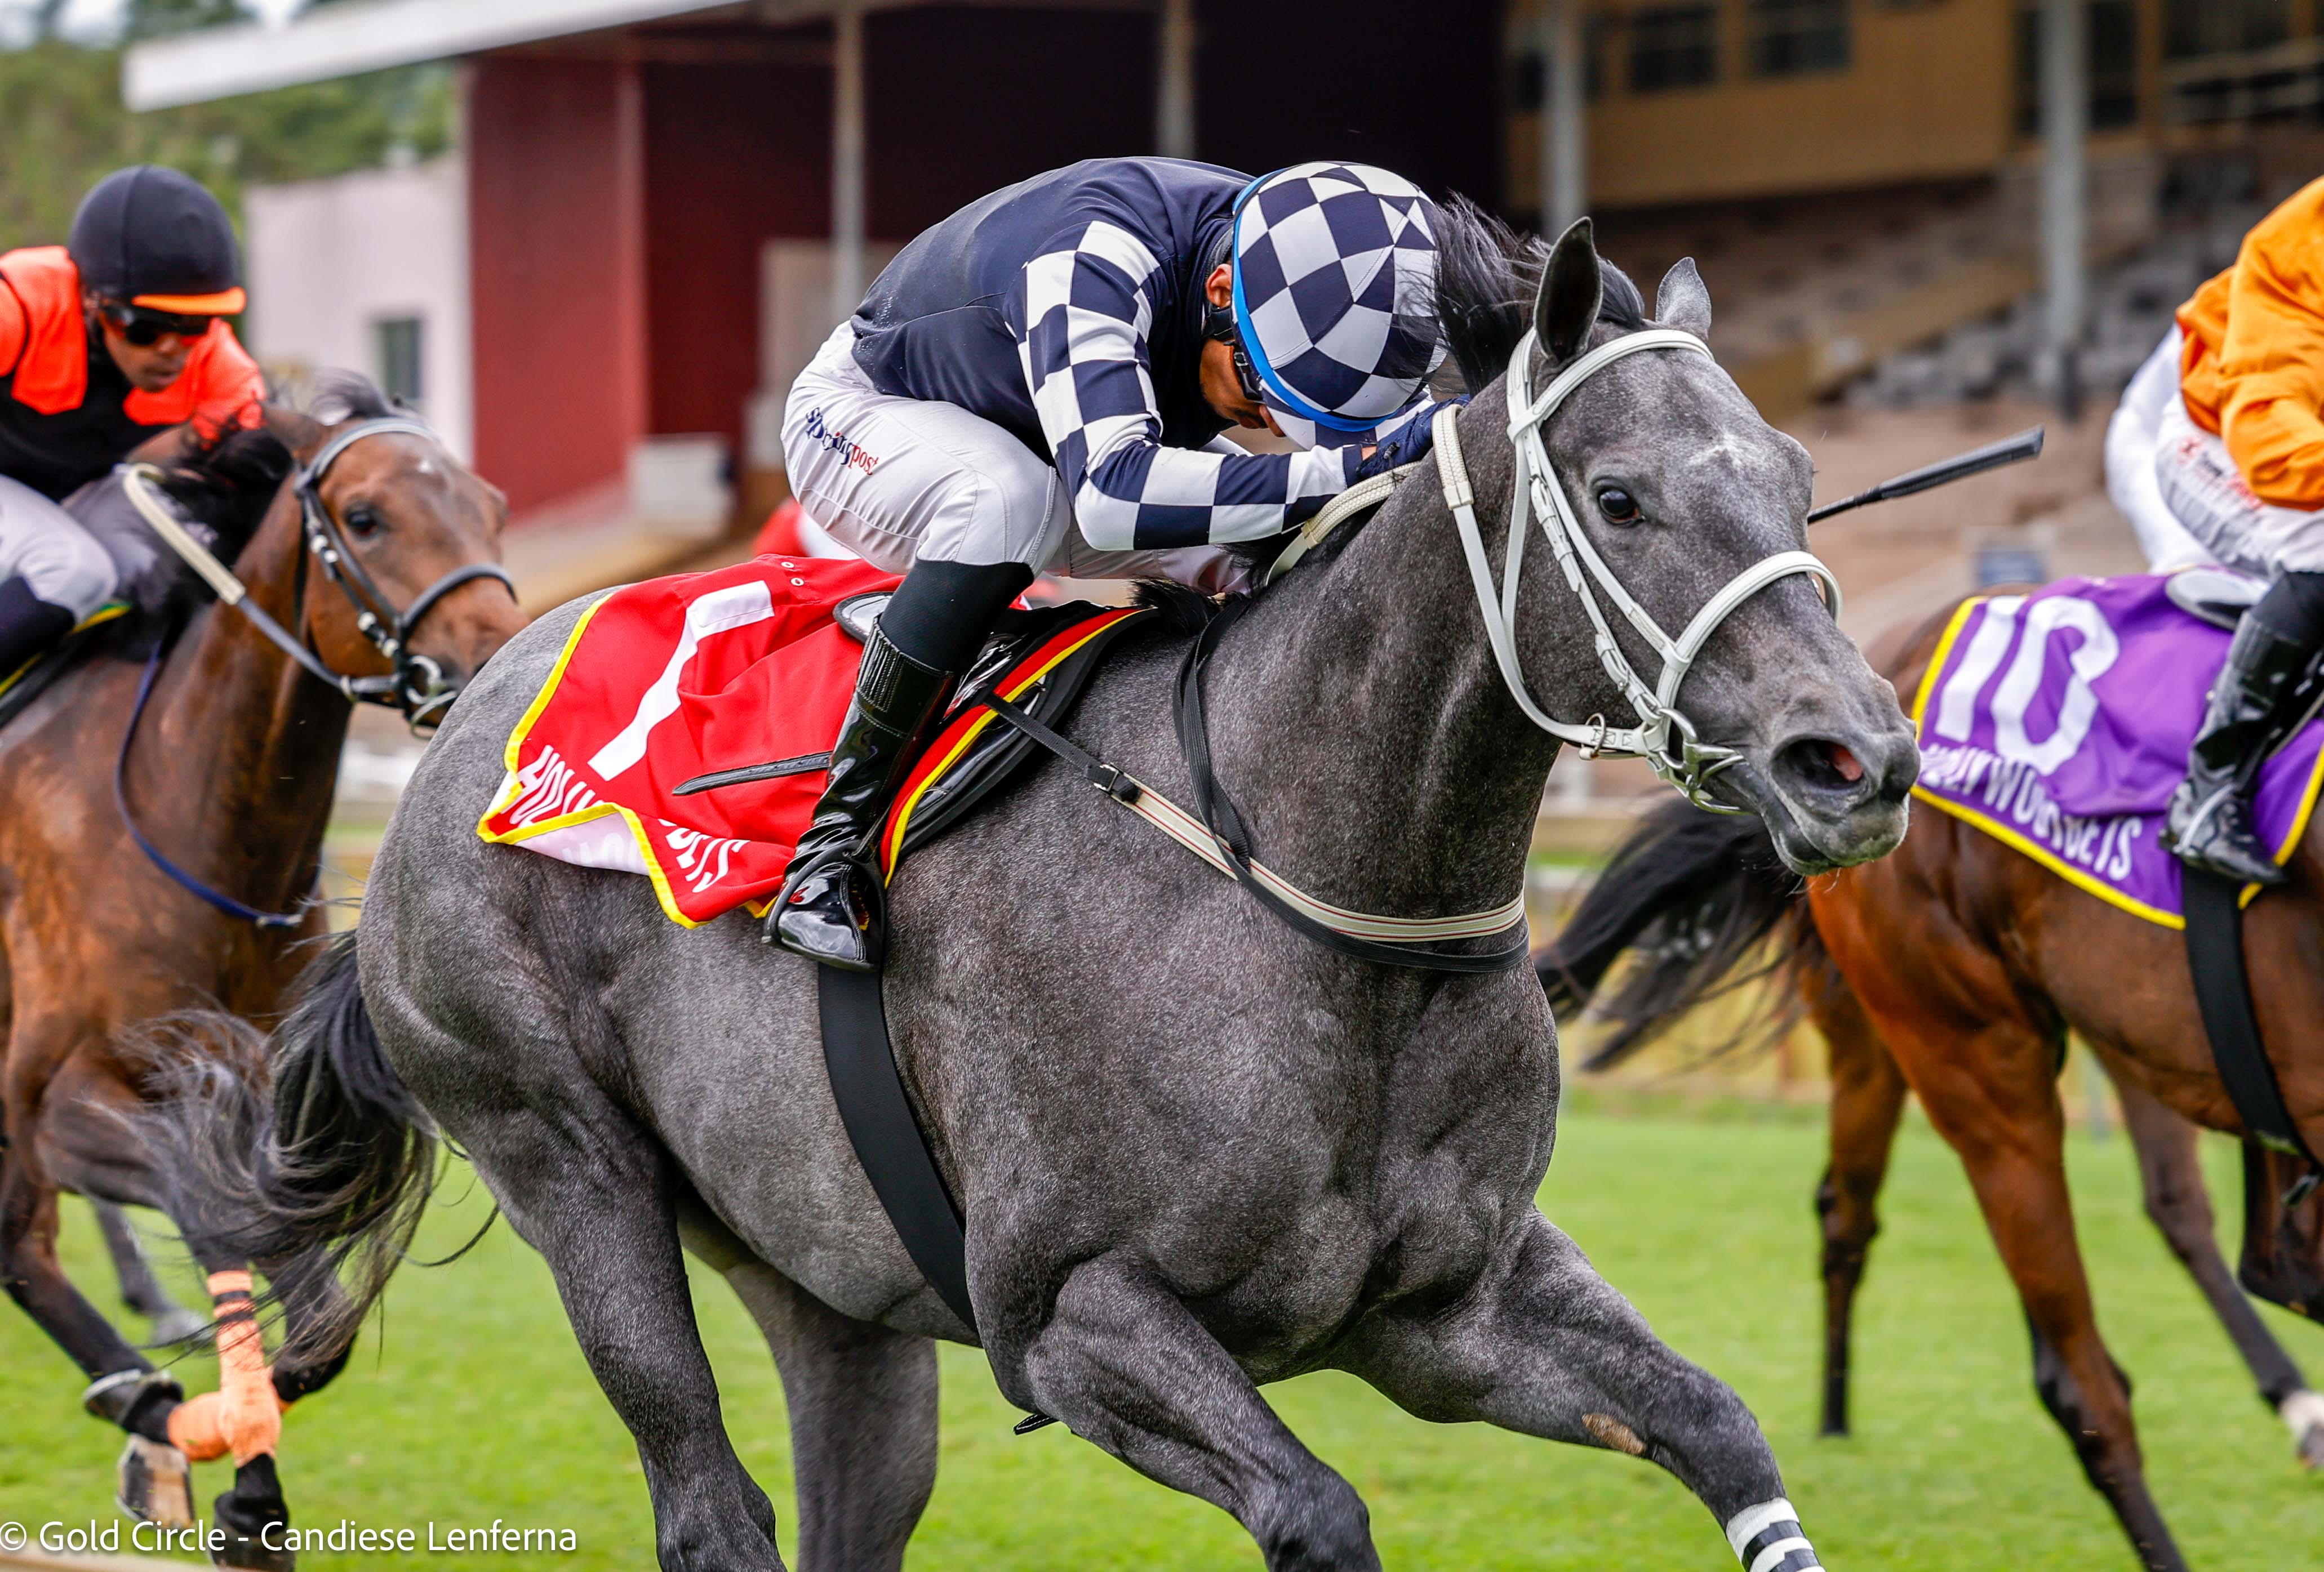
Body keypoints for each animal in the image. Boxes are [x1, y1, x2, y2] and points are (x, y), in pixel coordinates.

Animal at [0, 381, 525, 1568]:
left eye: (489, 504)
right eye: (368, 516)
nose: (494, 670)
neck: (194, 808)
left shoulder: (253, 1092)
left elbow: (297, 1285)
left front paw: (242, 1476)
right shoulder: (63, 1101)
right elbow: (215, 1214)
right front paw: (227, 1440)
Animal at [147, 212, 1917, 1571]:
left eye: (1792, 470)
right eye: (1619, 495)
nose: (1858, 758)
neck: (1313, 880)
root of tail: (458, 734)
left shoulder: (1449, 1309)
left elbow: (1715, 1420)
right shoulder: (1070, 1314)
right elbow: (1319, 1506)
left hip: (827, 1288)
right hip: (566, 1165)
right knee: (707, 1501)